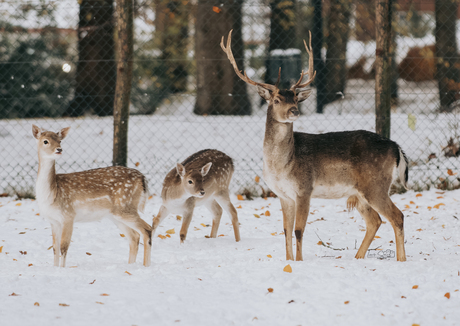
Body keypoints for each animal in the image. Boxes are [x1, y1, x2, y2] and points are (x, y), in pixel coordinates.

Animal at [31, 125, 153, 268]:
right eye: (45, 141)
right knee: (134, 237)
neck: (52, 194)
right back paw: (130, 265)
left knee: (147, 229)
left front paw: (62, 268)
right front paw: (55, 268)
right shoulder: (54, 220)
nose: (59, 149)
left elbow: (64, 247)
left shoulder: (68, 215)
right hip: (116, 215)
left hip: (125, 206)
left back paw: (146, 266)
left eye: (60, 140)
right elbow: (55, 248)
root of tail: (142, 178)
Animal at [221, 29, 408, 262]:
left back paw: (401, 260)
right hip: (360, 192)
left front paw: (299, 261)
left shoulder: (304, 188)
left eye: (295, 98)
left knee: (397, 216)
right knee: (375, 220)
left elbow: (299, 230)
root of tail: (396, 147)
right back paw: (357, 258)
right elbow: (286, 230)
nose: (294, 111)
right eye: (276, 100)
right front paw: (289, 260)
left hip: (376, 185)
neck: (283, 165)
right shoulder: (283, 195)